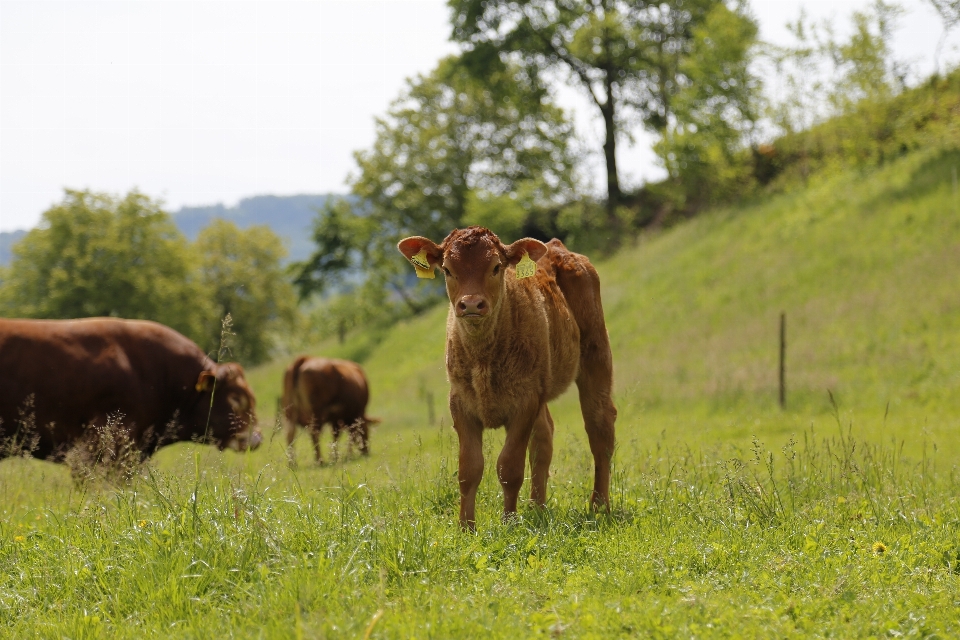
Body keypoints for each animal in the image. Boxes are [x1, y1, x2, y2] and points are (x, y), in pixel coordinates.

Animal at [396, 228, 616, 528]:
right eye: (447, 269)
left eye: (496, 267)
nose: (471, 304)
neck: (483, 358)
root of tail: (557, 248)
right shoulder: (461, 403)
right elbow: (469, 469)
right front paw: (466, 527)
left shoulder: (525, 403)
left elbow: (509, 467)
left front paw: (509, 523)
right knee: (544, 438)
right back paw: (537, 508)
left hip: (596, 352)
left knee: (599, 427)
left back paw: (599, 506)